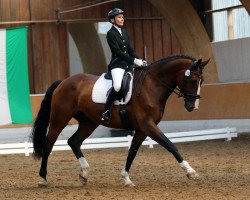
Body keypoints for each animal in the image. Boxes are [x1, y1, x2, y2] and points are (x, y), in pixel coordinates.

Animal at [30, 54, 210, 187]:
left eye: (201, 81)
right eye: (193, 81)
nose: (192, 107)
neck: (152, 85)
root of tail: (64, 81)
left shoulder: (142, 129)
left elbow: (132, 152)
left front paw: (126, 179)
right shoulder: (148, 125)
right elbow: (170, 145)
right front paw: (191, 172)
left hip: (89, 122)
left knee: (74, 141)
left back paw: (85, 174)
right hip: (60, 118)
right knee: (48, 144)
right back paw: (43, 179)